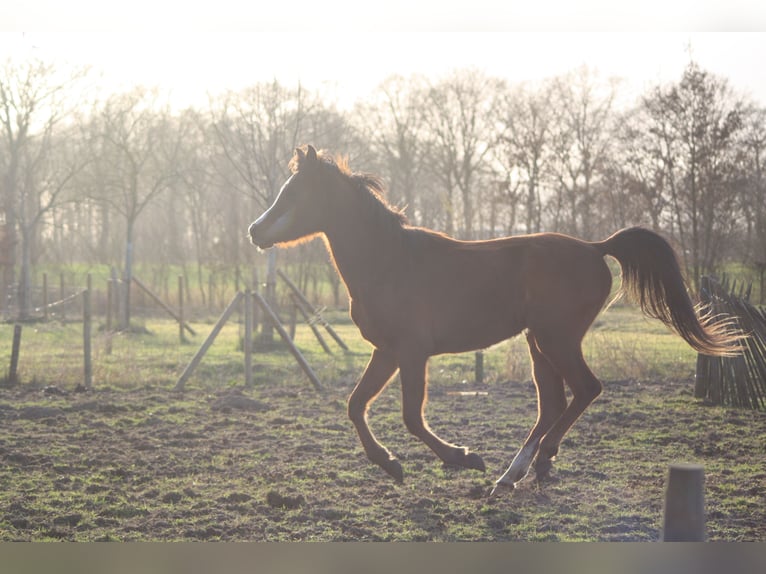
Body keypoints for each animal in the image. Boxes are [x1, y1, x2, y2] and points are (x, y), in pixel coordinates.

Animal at [248, 144, 742, 494]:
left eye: (294, 194)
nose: (254, 230)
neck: (389, 262)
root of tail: (596, 247)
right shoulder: (386, 352)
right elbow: (355, 405)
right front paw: (391, 464)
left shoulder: (411, 352)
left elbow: (410, 416)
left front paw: (460, 457)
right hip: (539, 343)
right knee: (553, 404)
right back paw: (518, 472)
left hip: (557, 339)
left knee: (585, 390)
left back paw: (532, 463)